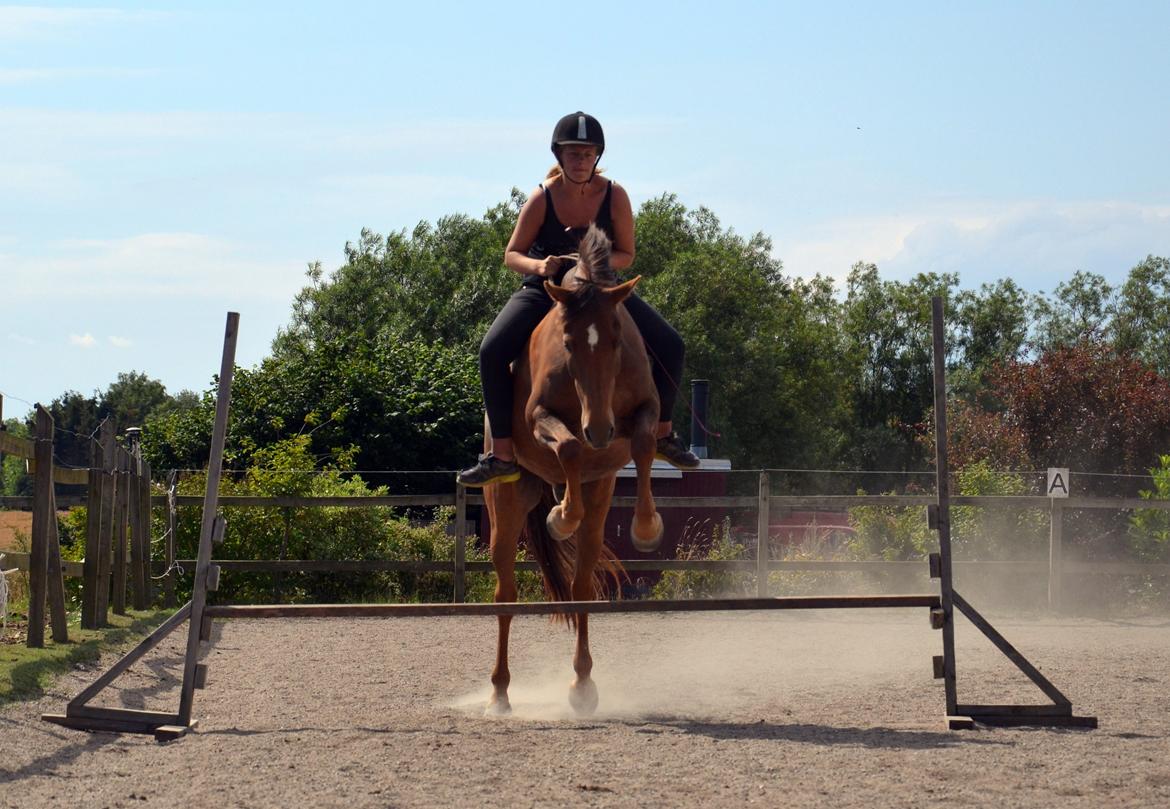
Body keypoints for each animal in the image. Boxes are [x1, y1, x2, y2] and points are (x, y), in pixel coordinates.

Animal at [479, 224, 664, 716]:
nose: (599, 429)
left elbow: (643, 443)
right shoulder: (540, 418)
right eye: (567, 343)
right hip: (506, 504)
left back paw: (582, 686)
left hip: (599, 499)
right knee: (505, 594)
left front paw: (645, 527)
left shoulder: (644, 411)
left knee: (582, 583)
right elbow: (568, 446)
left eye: (617, 340)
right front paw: (561, 518)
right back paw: (499, 693)